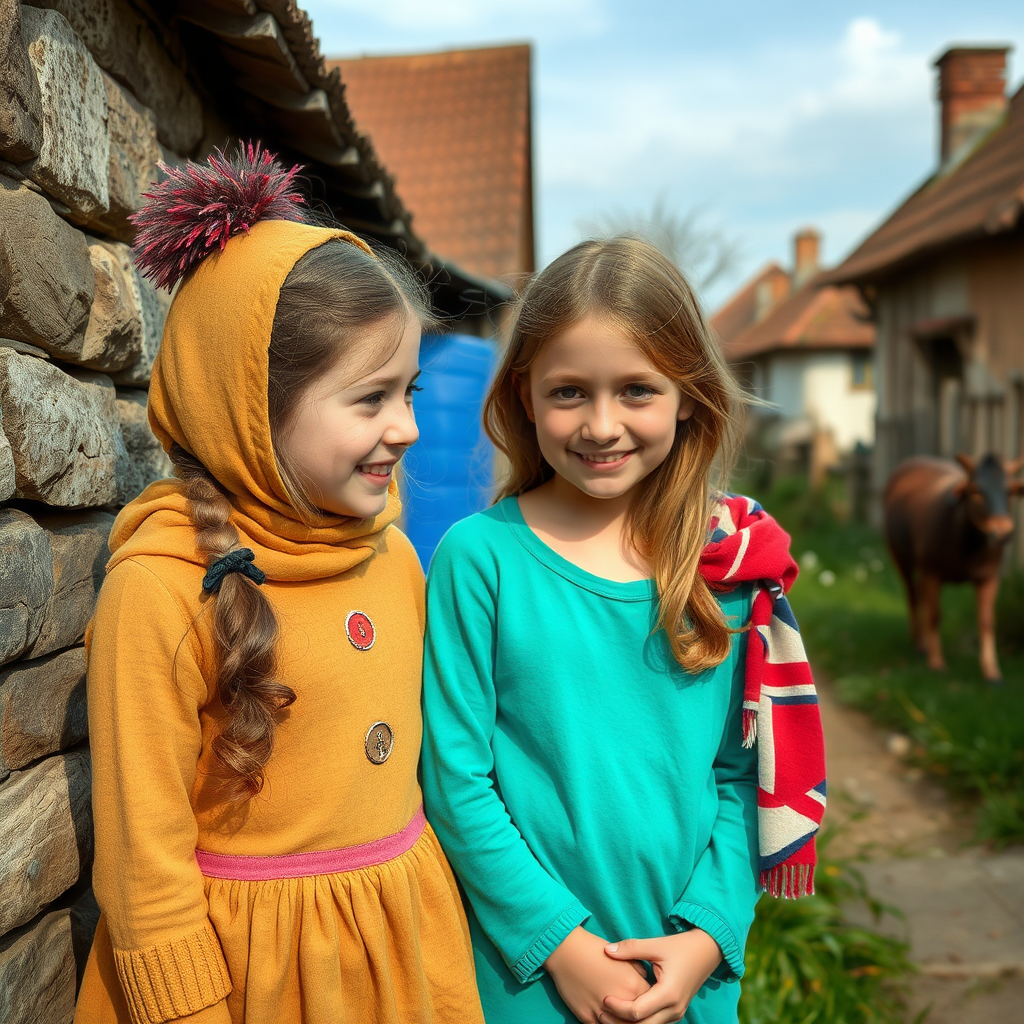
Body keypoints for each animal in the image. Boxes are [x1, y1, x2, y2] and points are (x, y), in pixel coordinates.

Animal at [884, 454, 1019, 679]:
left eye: (1009, 491)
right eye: (975, 491)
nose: (1002, 532)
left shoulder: (989, 577)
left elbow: (986, 621)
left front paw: (992, 672)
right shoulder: (932, 573)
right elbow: (935, 615)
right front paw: (936, 662)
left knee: (920, 594)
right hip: (899, 553)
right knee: (913, 594)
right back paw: (919, 642)